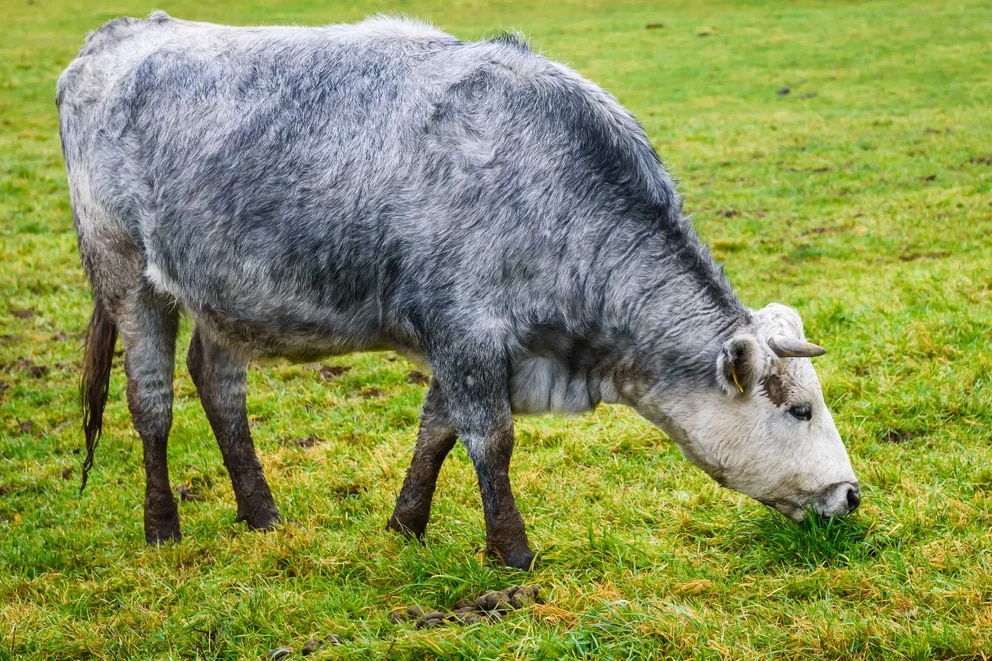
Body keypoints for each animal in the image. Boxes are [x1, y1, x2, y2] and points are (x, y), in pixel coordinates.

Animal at [56, 11, 860, 568]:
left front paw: (405, 523)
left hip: (225, 292)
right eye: (798, 409)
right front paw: (514, 552)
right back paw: (163, 527)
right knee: (151, 400)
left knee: (219, 386)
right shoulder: (467, 331)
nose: (850, 494)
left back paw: (261, 513)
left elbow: (435, 431)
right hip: (127, 273)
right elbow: (487, 439)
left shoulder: (467, 341)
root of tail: (117, 35)